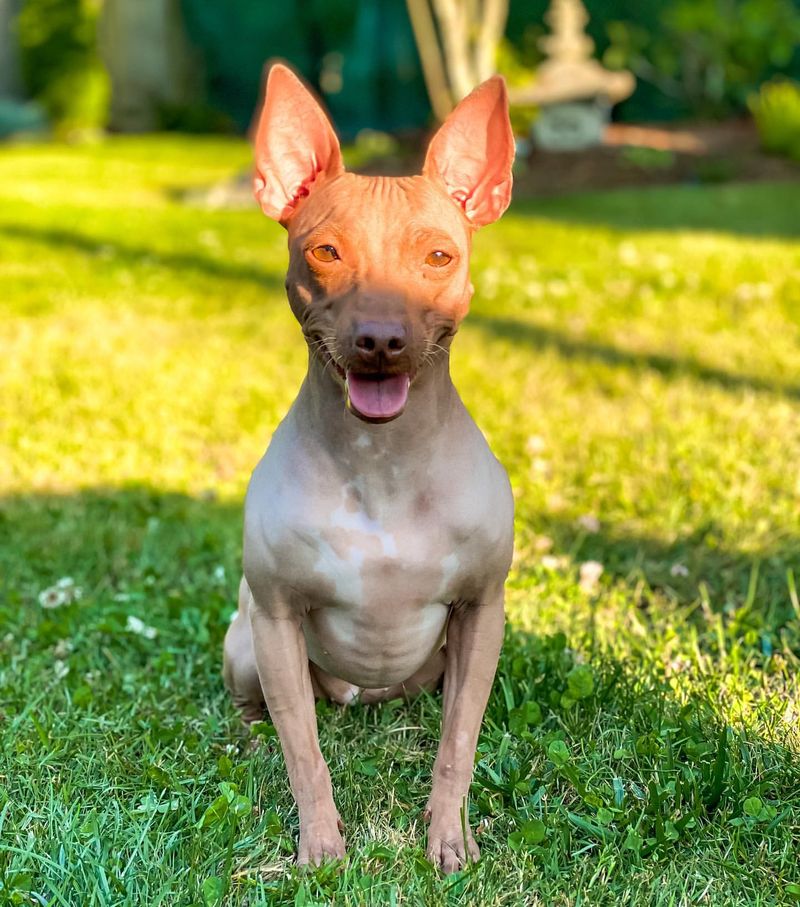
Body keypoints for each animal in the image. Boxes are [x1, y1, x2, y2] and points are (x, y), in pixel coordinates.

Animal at [222, 63, 516, 872]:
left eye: (439, 256)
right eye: (325, 252)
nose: (381, 339)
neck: (383, 462)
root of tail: (369, 699)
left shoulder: (481, 613)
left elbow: (456, 745)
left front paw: (448, 836)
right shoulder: (277, 618)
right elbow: (304, 752)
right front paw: (321, 843)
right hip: (245, 643)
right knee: (268, 712)